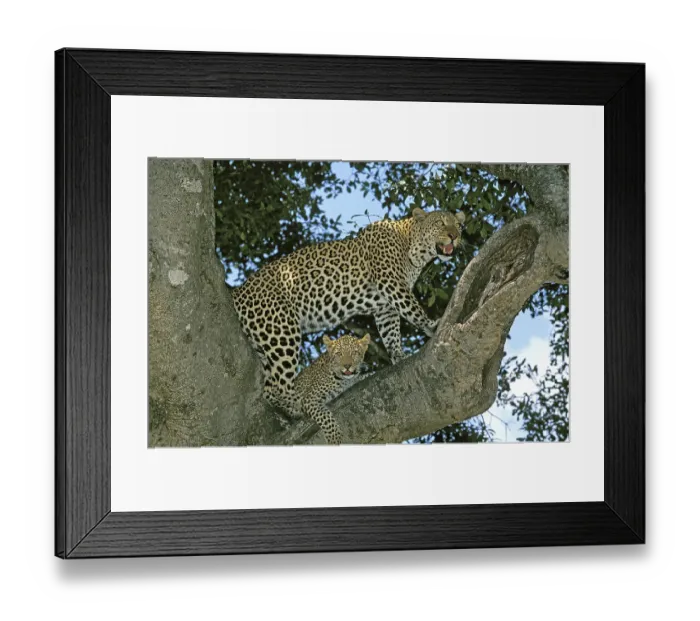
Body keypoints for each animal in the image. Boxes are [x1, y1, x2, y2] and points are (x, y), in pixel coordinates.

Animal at [231, 207, 465, 417]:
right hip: (282, 332)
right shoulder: (392, 283)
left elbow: (390, 332)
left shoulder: (385, 306)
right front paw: (430, 324)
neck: (413, 249)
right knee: (279, 387)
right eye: (441, 223)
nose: (454, 236)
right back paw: (299, 405)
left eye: (458, 226)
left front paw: (398, 355)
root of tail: (238, 292)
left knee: (269, 387)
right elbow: (412, 308)